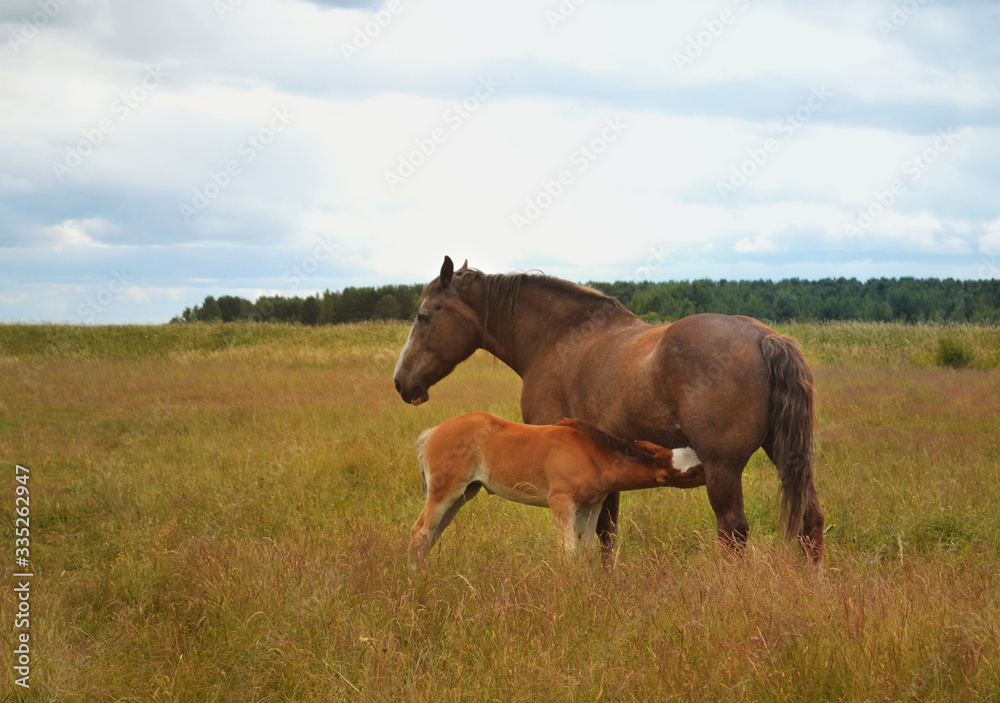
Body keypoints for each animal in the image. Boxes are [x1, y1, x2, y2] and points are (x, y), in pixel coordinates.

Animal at [408, 416, 704, 568]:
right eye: (692, 473)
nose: (710, 472)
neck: (592, 454)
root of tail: (433, 431)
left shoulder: (590, 506)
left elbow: (586, 550)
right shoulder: (561, 501)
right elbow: (568, 551)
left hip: (463, 494)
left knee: (432, 535)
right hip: (444, 492)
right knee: (420, 533)